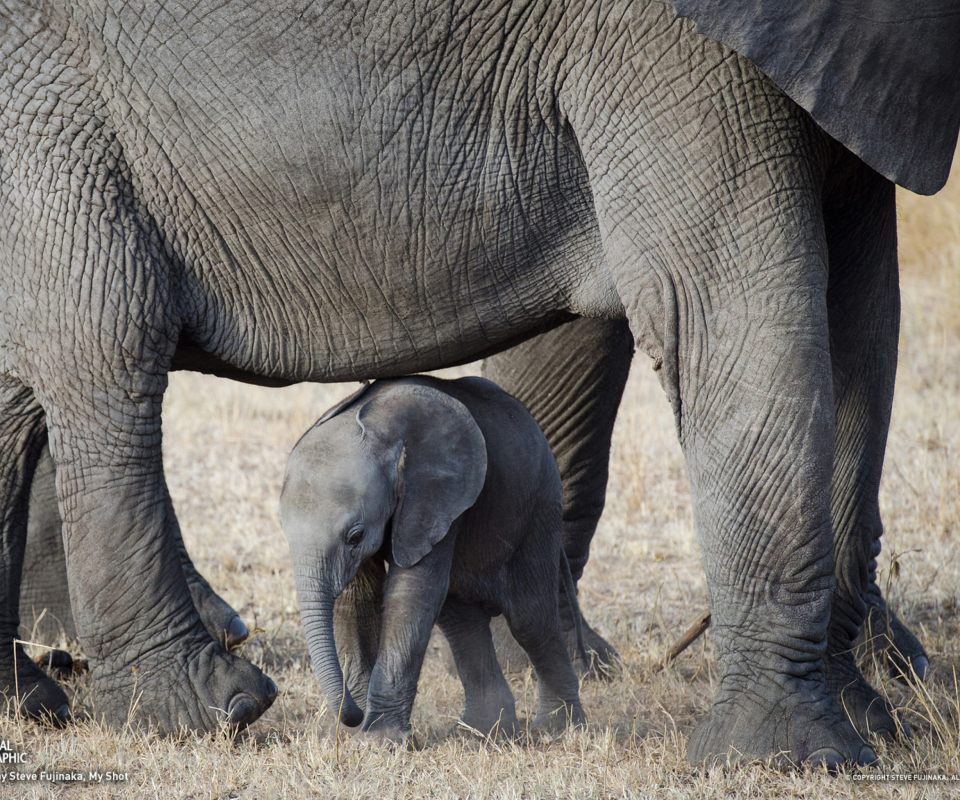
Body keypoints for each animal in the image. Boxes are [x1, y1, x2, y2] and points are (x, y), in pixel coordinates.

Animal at [280, 376, 584, 744]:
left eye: (355, 535)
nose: (352, 715)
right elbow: (357, 597)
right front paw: (358, 734)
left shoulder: (437, 497)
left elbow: (412, 591)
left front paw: (379, 741)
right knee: (461, 618)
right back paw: (484, 733)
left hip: (540, 504)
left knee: (530, 618)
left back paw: (558, 730)